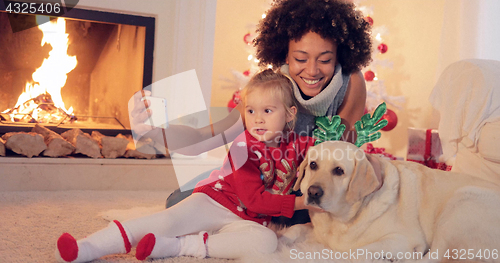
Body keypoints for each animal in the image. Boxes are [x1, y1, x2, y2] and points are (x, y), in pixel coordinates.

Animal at [284, 141, 500, 262]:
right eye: (313, 165)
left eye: (339, 171)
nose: (313, 192)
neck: (340, 220)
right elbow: (297, 228)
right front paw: (284, 238)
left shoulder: (403, 238)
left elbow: (355, 252)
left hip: (460, 203)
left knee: (433, 257)